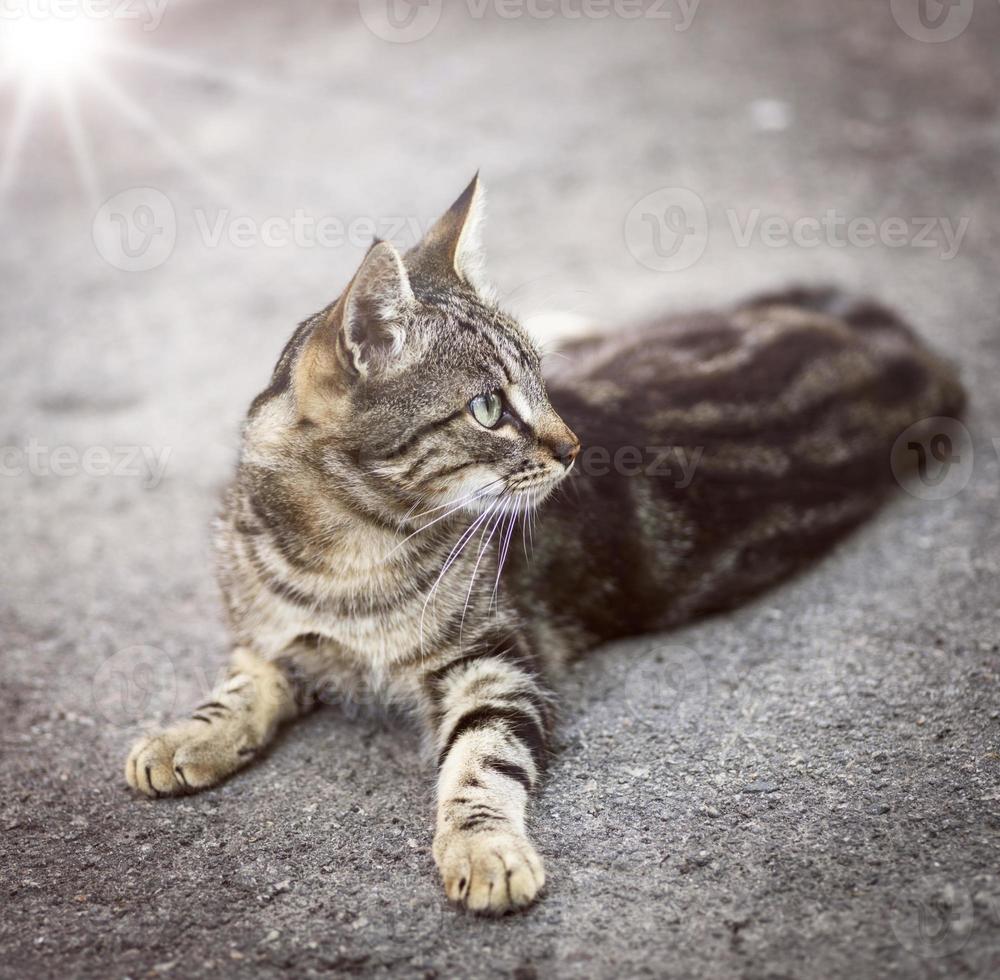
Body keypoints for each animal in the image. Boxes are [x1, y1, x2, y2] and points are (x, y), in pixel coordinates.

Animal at [121, 174, 964, 912]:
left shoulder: (496, 664)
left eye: (539, 386)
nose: (573, 445)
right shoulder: (272, 633)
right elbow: (241, 683)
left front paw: (483, 849)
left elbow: (480, 768)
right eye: (489, 408)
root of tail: (896, 357)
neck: (348, 553)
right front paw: (185, 736)